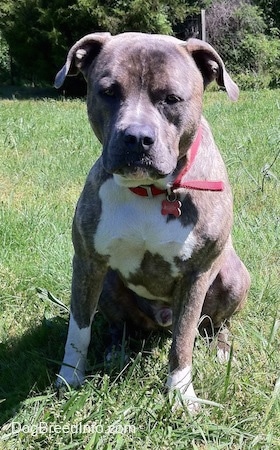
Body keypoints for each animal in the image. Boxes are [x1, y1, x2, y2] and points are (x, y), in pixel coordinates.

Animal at [53, 32, 250, 412]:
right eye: (109, 91)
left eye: (171, 99)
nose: (136, 137)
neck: (150, 191)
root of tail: (160, 320)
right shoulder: (87, 262)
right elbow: (78, 331)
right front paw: (68, 379)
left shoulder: (196, 274)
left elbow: (183, 341)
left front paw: (181, 394)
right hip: (109, 282)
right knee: (119, 325)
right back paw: (115, 350)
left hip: (234, 276)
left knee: (213, 325)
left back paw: (220, 348)